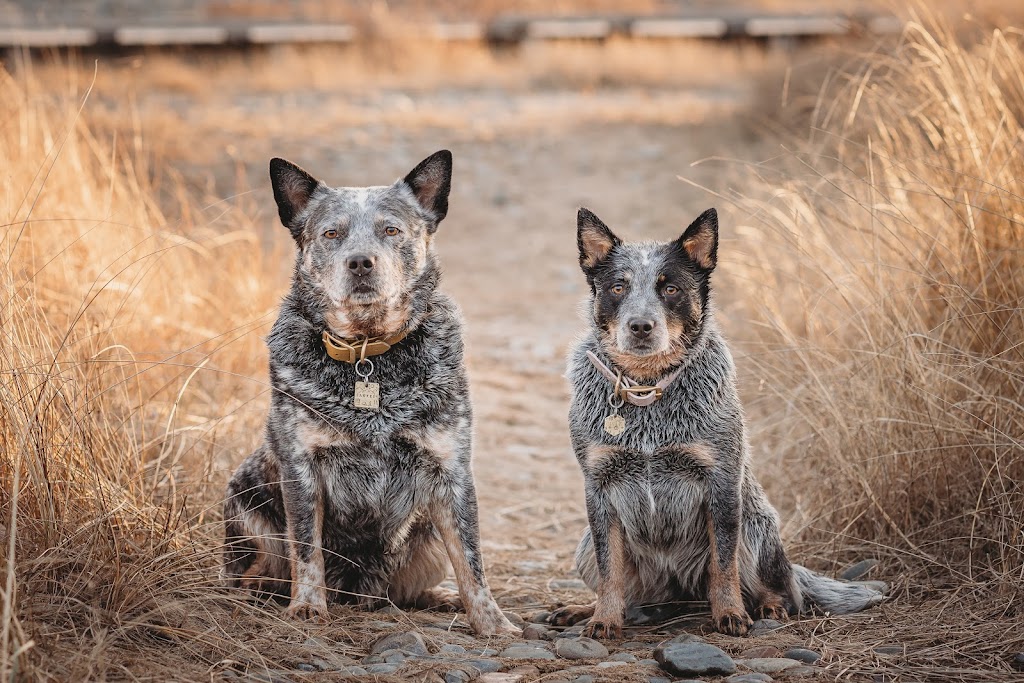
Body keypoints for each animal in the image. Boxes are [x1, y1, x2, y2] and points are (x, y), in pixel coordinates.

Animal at [220, 152, 516, 638]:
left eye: (391, 230)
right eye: (332, 233)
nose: (360, 262)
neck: (368, 355)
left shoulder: (452, 473)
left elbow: (472, 561)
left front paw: (491, 622)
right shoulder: (301, 468)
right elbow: (307, 550)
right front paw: (307, 607)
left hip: (426, 539)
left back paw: (440, 600)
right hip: (247, 504)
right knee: (253, 572)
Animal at [548, 208, 884, 643]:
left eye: (671, 288)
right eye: (618, 287)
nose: (640, 326)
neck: (648, 391)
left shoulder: (720, 479)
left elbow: (723, 565)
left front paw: (730, 614)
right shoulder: (599, 487)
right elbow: (611, 571)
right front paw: (603, 619)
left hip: (755, 528)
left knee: (782, 587)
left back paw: (770, 607)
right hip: (586, 545)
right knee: (631, 594)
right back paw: (582, 609)